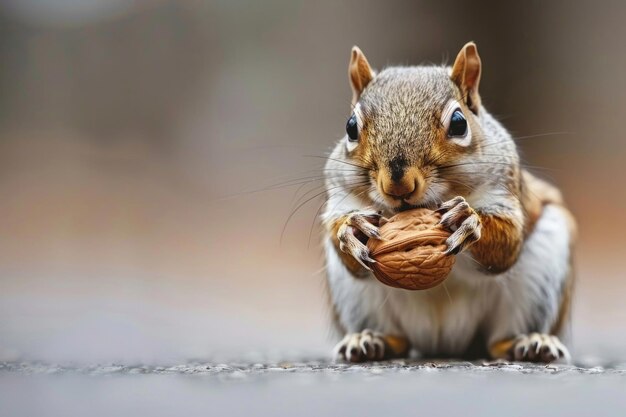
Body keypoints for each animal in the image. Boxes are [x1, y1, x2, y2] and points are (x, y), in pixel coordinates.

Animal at [322, 42, 576, 360]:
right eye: (351, 127)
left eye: (458, 123)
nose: (398, 185)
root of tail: (444, 344)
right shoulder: (340, 195)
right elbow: (345, 244)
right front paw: (351, 229)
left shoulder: (503, 188)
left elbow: (506, 245)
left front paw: (468, 221)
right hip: (357, 299)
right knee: (397, 340)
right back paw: (371, 340)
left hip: (541, 275)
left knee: (499, 341)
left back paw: (528, 342)